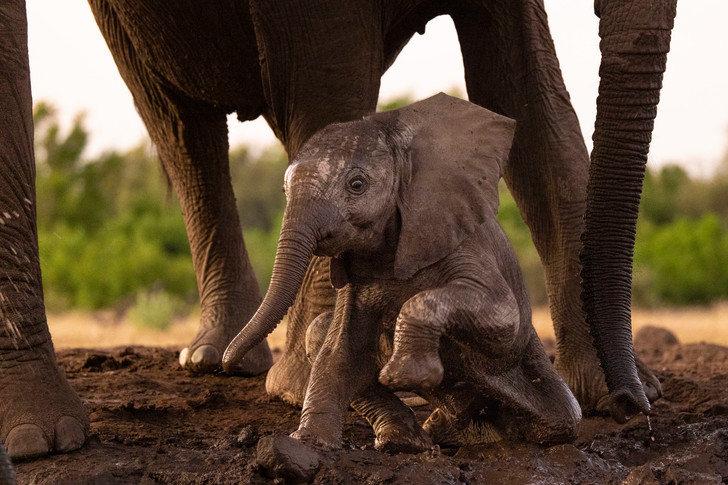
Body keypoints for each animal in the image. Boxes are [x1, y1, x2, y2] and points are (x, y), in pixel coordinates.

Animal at [222, 93, 580, 450]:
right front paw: (308, 442)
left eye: (357, 185)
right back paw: (410, 440)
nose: (227, 365)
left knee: (561, 420)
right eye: (285, 192)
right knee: (318, 331)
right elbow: (339, 351)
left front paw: (405, 375)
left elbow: (504, 320)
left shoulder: (460, 239)